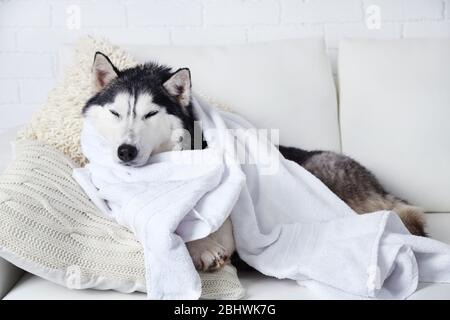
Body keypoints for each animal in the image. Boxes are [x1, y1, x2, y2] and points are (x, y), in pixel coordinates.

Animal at [83, 52, 426, 272]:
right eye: (115, 113)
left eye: (150, 114)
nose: (125, 151)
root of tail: (377, 185)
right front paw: (200, 246)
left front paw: (203, 246)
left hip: (325, 177)